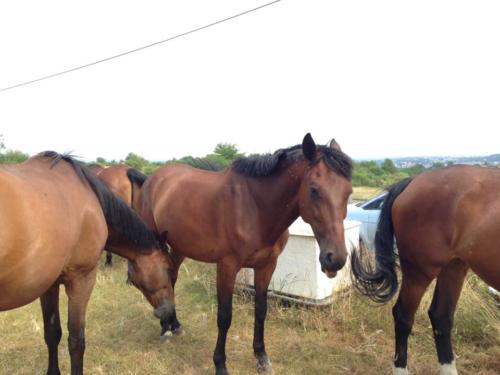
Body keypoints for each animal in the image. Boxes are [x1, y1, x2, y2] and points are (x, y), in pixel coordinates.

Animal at [0, 153, 175, 375]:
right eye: (168, 268)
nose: (169, 312)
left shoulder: (49, 285)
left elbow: (52, 333)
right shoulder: (82, 280)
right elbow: (76, 341)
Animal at [135, 134, 354, 374]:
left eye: (349, 192)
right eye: (314, 189)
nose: (336, 259)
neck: (255, 208)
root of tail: (152, 178)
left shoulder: (267, 266)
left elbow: (261, 310)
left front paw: (261, 357)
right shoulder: (227, 267)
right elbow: (224, 317)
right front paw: (220, 364)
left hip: (179, 247)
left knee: (171, 278)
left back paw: (174, 324)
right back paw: (165, 327)